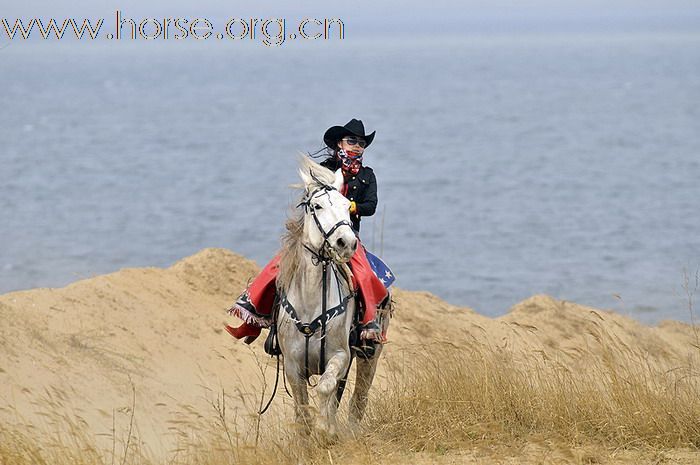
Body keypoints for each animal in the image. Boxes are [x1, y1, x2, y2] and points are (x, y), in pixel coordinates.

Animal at [274, 158, 388, 436]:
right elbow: (302, 408)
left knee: (359, 396)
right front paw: (308, 434)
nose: (345, 242)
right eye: (317, 205)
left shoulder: (340, 355)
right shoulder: (292, 366)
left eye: (348, 206)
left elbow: (327, 388)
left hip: (371, 354)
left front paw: (326, 429)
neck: (311, 301)